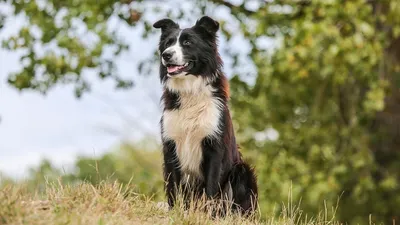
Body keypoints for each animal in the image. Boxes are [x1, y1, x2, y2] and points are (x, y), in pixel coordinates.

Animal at [153, 16, 260, 216]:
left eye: (187, 43)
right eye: (168, 43)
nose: (166, 55)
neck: (190, 90)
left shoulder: (214, 147)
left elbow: (211, 187)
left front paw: (206, 215)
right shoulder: (171, 146)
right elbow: (173, 187)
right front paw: (175, 212)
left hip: (242, 170)